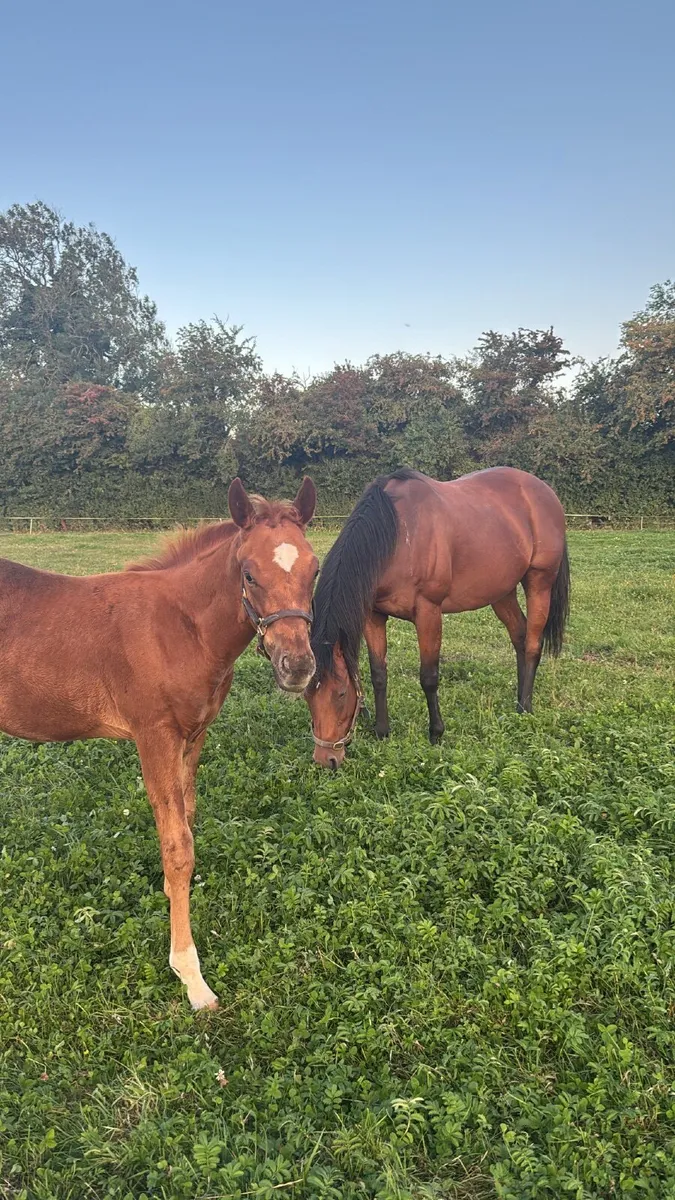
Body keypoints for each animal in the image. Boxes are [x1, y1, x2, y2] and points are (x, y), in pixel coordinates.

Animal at [0, 478, 319, 1008]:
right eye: (248, 574)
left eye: (315, 569)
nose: (296, 666)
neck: (180, 627)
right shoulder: (154, 737)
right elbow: (177, 844)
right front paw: (191, 974)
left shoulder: (194, 735)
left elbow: (187, 820)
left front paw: (174, 898)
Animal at [305, 467, 570, 768]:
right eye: (307, 695)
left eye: (340, 693)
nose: (326, 759)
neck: (397, 535)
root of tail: (544, 491)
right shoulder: (374, 616)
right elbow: (378, 674)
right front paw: (382, 731)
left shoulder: (428, 613)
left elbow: (429, 677)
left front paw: (436, 733)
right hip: (501, 593)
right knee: (520, 637)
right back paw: (517, 700)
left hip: (539, 582)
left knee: (533, 644)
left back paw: (525, 707)